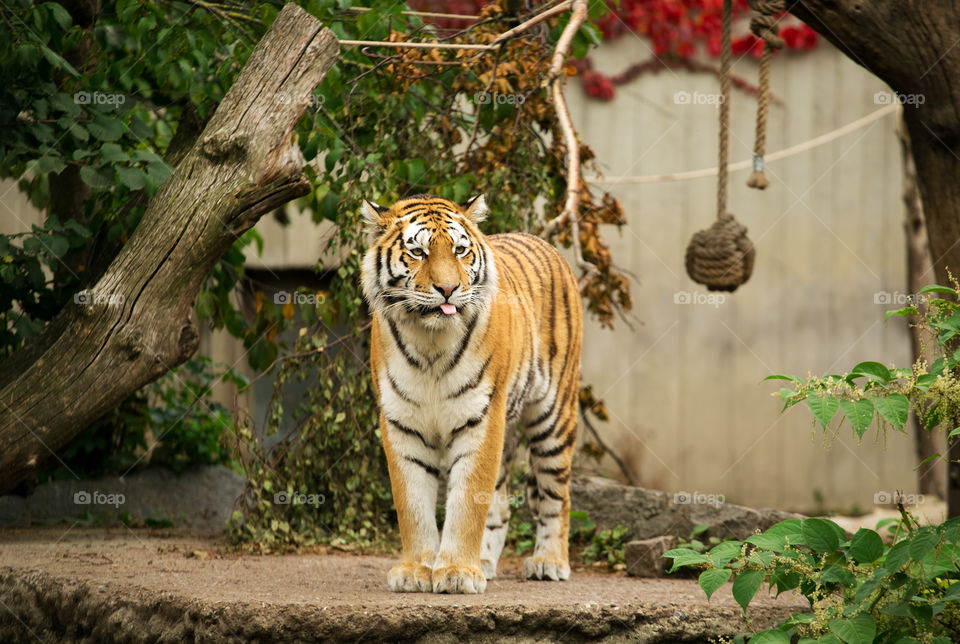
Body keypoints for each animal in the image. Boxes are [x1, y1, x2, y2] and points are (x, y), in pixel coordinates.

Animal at [364, 192, 580, 592]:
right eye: (418, 253)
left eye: (460, 250)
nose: (448, 289)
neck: (430, 341)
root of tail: (541, 241)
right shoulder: (401, 422)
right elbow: (413, 503)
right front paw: (416, 570)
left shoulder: (481, 418)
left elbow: (467, 502)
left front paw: (456, 573)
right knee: (501, 504)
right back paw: (485, 561)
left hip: (553, 416)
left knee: (557, 494)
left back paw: (549, 562)